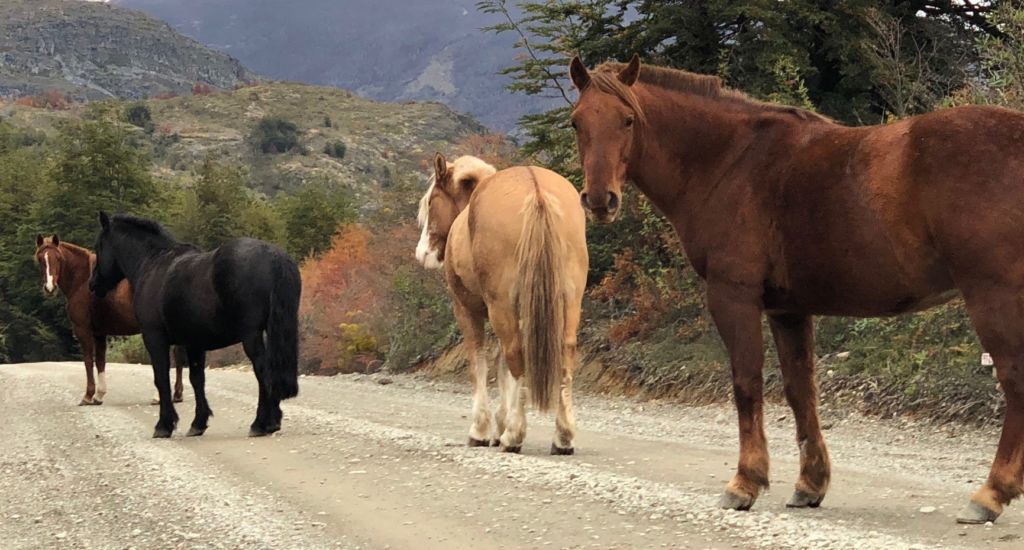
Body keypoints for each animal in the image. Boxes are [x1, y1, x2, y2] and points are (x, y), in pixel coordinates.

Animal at [34, 233, 185, 405]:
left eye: (58, 258)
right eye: (40, 259)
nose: (49, 288)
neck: (83, 281)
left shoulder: (83, 330)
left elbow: (88, 360)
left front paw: (88, 395)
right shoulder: (99, 333)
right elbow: (100, 361)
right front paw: (99, 395)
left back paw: (158, 397)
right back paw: (177, 394)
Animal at [89, 210, 299, 438]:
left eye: (99, 246)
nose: (93, 284)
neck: (153, 263)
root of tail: (274, 256)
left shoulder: (154, 338)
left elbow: (161, 378)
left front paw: (164, 425)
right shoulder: (194, 343)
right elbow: (197, 379)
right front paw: (198, 423)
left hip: (251, 335)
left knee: (263, 371)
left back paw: (261, 424)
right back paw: (272, 421)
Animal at [415, 152, 589, 452]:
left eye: (431, 201)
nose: (421, 253)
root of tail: (537, 193)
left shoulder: (468, 310)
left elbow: (480, 364)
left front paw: (483, 429)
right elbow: (501, 366)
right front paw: (499, 423)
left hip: (502, 307)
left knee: (517, 354)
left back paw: (514, 435)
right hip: (568, 302)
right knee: (564, 355)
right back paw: (562, 436)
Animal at [573, 55, 1024, 522]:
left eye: (627, 120)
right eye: (577, 122)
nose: (600, 200)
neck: (729, 161)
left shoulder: (733, 297)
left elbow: (747, 384)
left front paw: (745, 483)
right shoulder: (787, 309)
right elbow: (800, 391)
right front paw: (810, 484)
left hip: (991, 296)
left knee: (1015, 382)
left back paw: (989, 494)